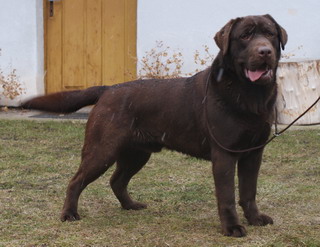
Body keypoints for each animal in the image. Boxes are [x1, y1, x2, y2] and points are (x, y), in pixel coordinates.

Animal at [22, 14, 288, 237]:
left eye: (270, 34)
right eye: (245, 36)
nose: (264, 51)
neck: (250, 94)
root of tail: (108, 89)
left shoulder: (253, 153)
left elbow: (249, 192)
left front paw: (255, 218)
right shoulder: (224, 154)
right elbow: (228, 195)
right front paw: (232, 228)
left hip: (136, 153)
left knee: (117, 181)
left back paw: (130, 205)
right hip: (102, 151)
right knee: (76, 181)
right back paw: (69, 214)